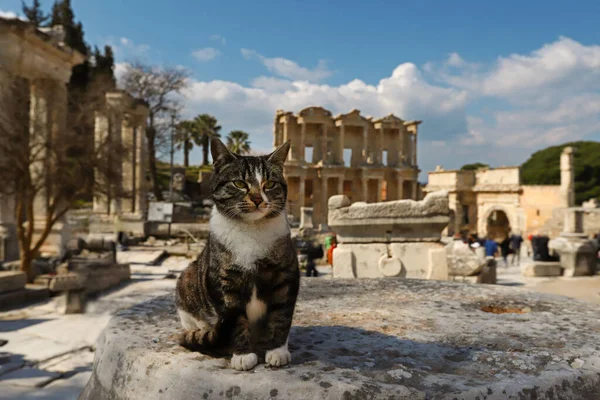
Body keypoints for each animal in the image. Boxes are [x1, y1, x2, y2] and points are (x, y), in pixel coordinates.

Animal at [177, 137, 300, 372]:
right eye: (240, 184)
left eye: (269, 184)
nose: (258, 199)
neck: (251, 230)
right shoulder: (224, 283)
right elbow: (235, 320)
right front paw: (243, 355)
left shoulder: (285, 275)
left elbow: (281, 315)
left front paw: (277, 351)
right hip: (186, 280)